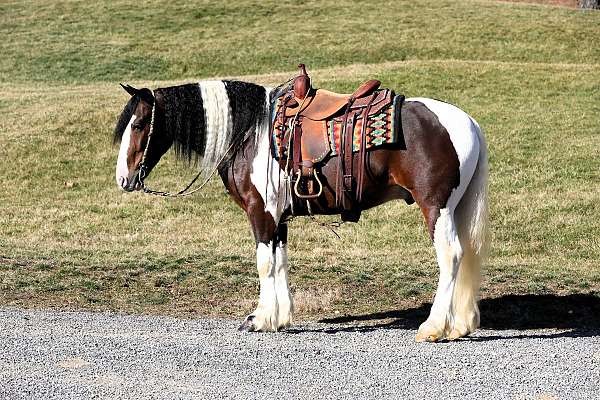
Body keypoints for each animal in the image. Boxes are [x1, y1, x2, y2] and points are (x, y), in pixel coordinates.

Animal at [112, 76, 488, 342]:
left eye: (139, 124)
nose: (122, 179)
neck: (252, 133)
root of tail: (468, 122)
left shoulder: (261, 211)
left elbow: (264, 264)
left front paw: (259, 318)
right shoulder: (279, 217)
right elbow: (280, 262)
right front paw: (279, 318)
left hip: (436, 207)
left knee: (451, 256)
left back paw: (433, 327)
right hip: (456, 208)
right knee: (466, 254)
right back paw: (459, 325)